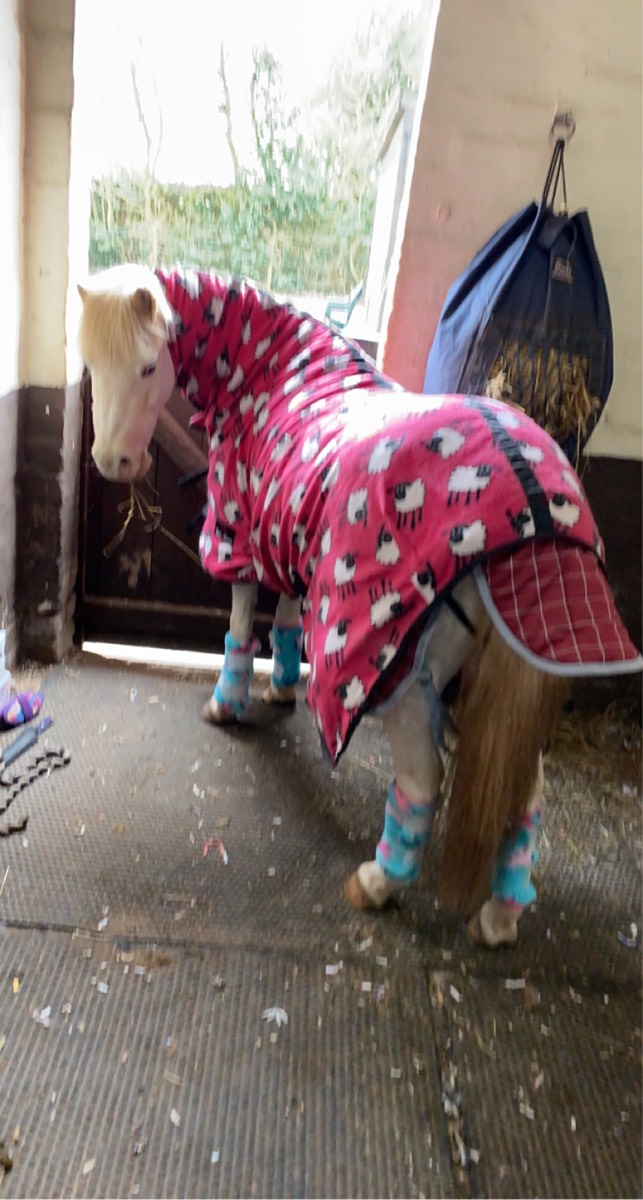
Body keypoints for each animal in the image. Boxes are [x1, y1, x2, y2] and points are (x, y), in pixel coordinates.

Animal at [77, 264, 642, 949]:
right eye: (88, 362)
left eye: (147, 367)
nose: (113, 461)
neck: (276, 369)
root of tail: (536, 512)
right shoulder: (286, 532)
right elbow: (286, 620)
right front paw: (281, 689)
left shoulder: (238, 531)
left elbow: (241, 623)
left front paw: (227, 705)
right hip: (514, 684)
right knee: (523, 798)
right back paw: (500, 916)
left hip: (398, 676)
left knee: (424, 780)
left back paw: (379, 881)